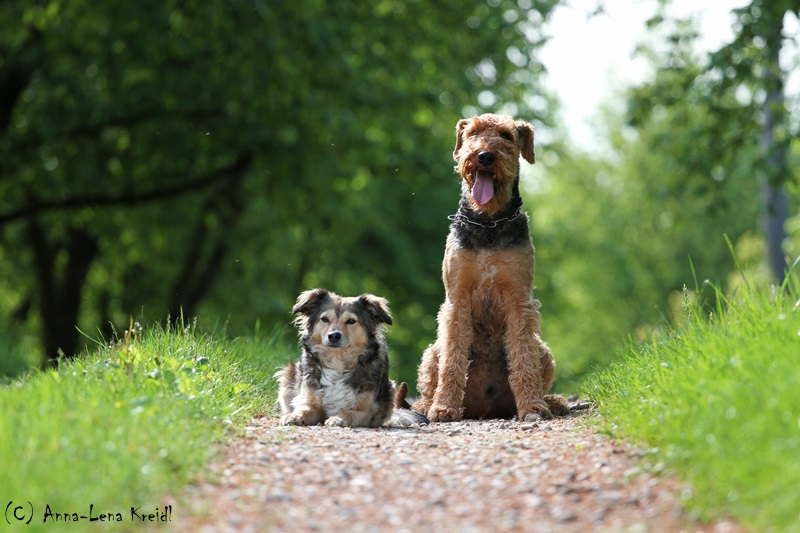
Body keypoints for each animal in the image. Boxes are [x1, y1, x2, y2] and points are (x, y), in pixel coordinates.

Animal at [276, 286, 428, 428]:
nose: (333, 336)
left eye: (351, 321)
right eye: (324, 319)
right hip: (289, 374)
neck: (338, 360)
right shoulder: (310, 402)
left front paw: (338, 418)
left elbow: (350, 413)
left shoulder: (368, 412)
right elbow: (304, 409)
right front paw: (294, 416)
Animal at [412, 114, 568, 422]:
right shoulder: (457, 299)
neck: (488, 223)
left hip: (543, 351)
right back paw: (427, 406)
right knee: (431, 379)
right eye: (472, 133)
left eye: (506, 136)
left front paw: (533, 406)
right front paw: (444, 407)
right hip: (431, 352)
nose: (484, 156)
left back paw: (551, 402)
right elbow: (452, 361)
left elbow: (523, 358)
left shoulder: (520, 300)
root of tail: (485, 407)